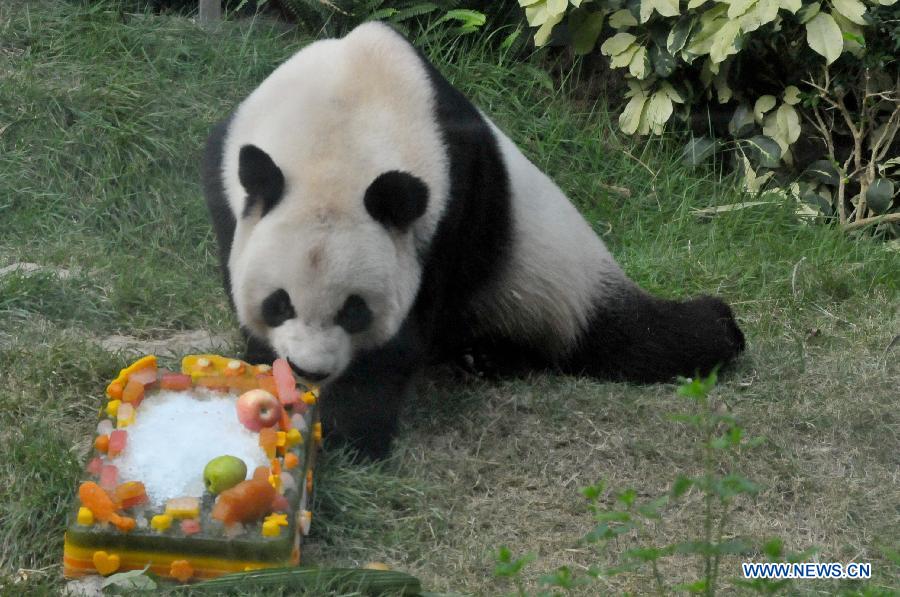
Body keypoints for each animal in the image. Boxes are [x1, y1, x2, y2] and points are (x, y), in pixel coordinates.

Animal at [204, 22, 744, 456]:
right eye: (279, 303)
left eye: (355, 310)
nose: (310, 370)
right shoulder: (229, 176)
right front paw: (266, 371)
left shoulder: (456, 197)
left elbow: (404, 331)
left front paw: (348, 436)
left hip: (555, 279)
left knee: (637, 336)